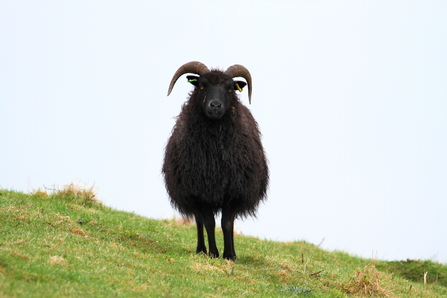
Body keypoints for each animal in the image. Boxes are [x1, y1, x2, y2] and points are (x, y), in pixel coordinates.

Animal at [164, 61, 270, 260]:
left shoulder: (233, 190)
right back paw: (201, 249)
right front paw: (213, 253)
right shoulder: (200, 190)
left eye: (229, 89)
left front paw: (229, 255)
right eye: (202, 86)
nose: (215, 106)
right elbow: (209, 223)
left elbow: (227, 223)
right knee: (199, 221)